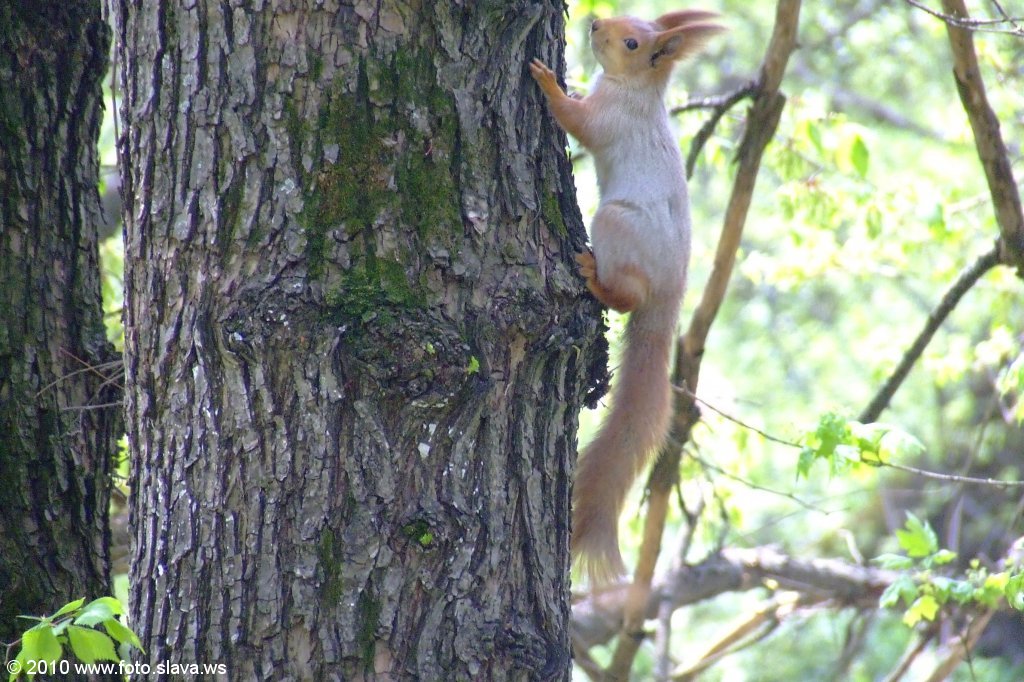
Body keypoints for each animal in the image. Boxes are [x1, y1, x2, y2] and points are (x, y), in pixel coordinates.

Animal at [530, 10, 725, 581]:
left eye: (634, 42)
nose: (594, 23)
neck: (636, 91)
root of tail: (669, 298)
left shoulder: (610, 120)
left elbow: (577, 122)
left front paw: (549, 82)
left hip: (614, 223)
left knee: (626, 297)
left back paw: (596, 276)